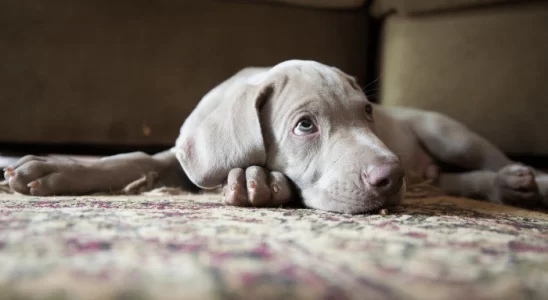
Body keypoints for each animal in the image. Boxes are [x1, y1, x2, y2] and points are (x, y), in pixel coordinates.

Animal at [4, 59, 548, 212]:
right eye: (305, 125)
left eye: (368, 114)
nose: (391, 178)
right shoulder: (184, 156)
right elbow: (138, 158)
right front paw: (50, 168)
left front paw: (257, 182)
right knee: (446, 180)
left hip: (449, 134)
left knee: (485, 161)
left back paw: (523, 182)